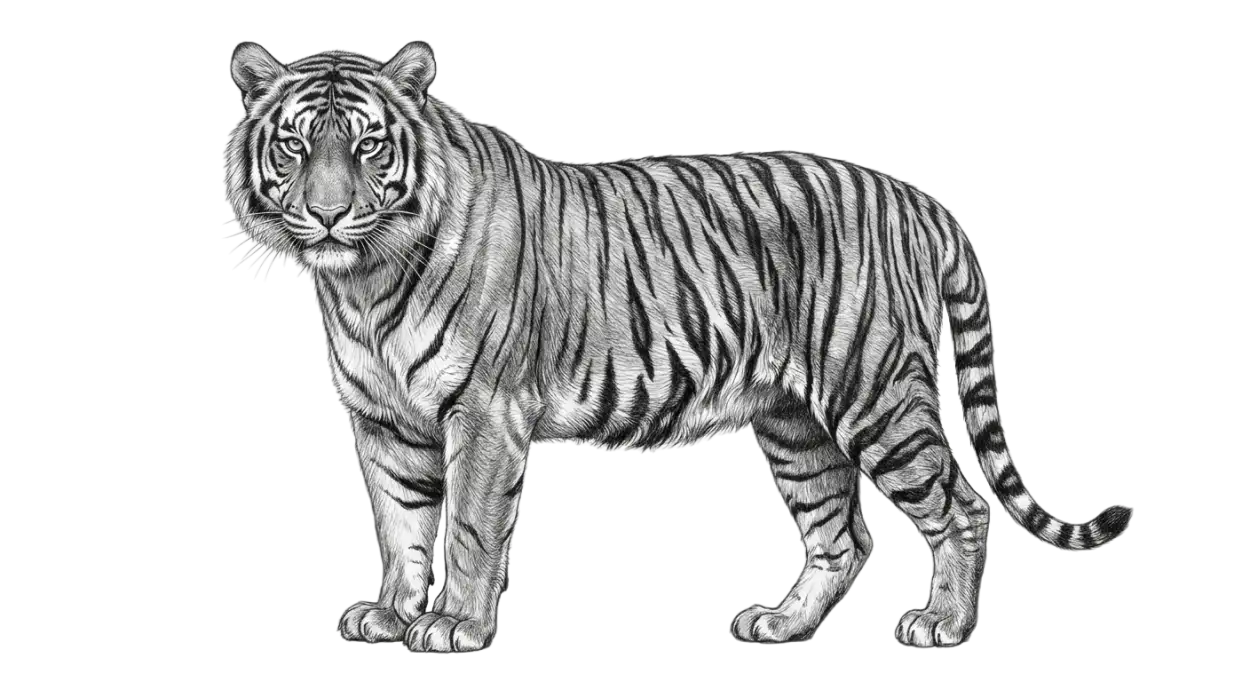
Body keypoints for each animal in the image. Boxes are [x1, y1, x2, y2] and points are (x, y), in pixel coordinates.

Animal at [224, 40, 1134, 653]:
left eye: (368, 146)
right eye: (296, 146)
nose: (330, 214)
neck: (363, 280)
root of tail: (920, 199)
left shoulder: (483, 414)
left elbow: (469, 530)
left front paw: (451, 624)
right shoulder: (384, 424)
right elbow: (404, 526)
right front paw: (392, 613)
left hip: (876, 397)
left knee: (958, 503)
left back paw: (942, 623)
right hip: (795, 423)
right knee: (843, 536)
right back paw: (781, 623)